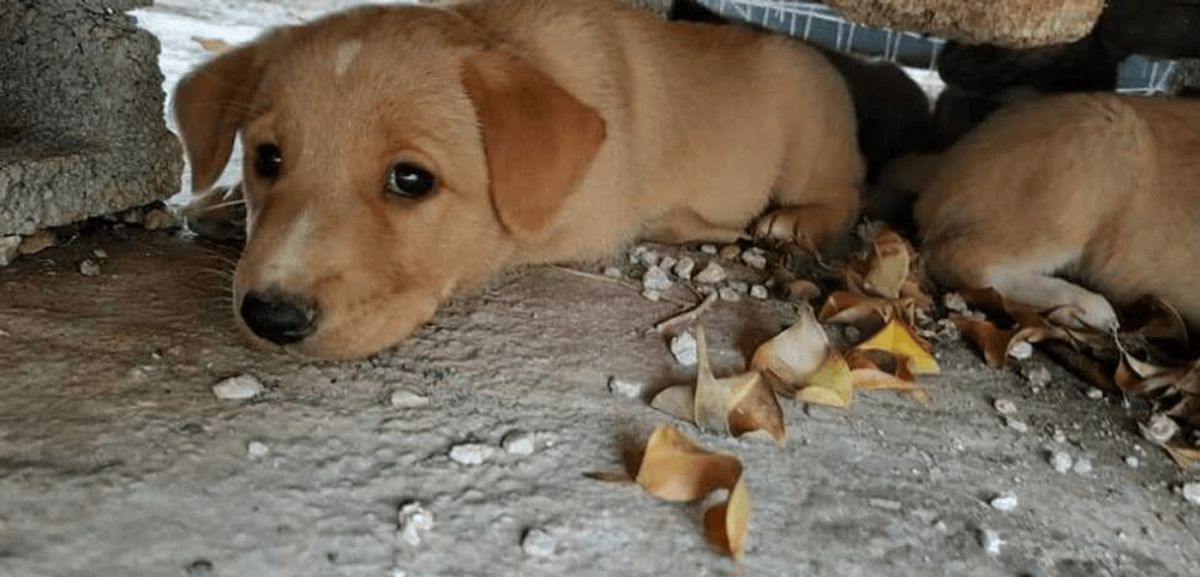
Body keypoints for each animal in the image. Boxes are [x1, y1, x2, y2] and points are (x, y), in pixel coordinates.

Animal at [174, 0, 864, 359]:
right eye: (267, 159)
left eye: (410, 179)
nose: (270, 317)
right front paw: (223, 201)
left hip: (811, 131)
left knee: (847, 194)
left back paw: (786, 221)